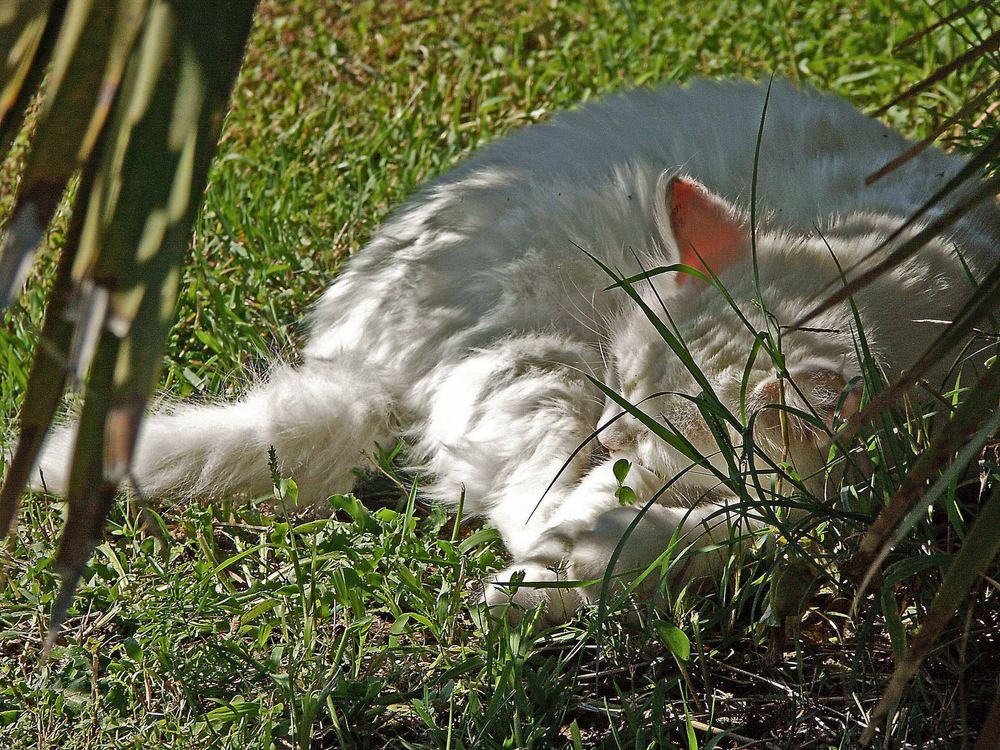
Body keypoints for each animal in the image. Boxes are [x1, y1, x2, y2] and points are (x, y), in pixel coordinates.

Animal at [31, 79, 1000, 624]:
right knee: (526, 506)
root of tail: (359, 355)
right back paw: (552, 575)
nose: (607, 445)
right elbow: (751, 526)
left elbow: (762, 522)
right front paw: (601, 545)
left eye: (649, 437)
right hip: (525, 363)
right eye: (621, 395)